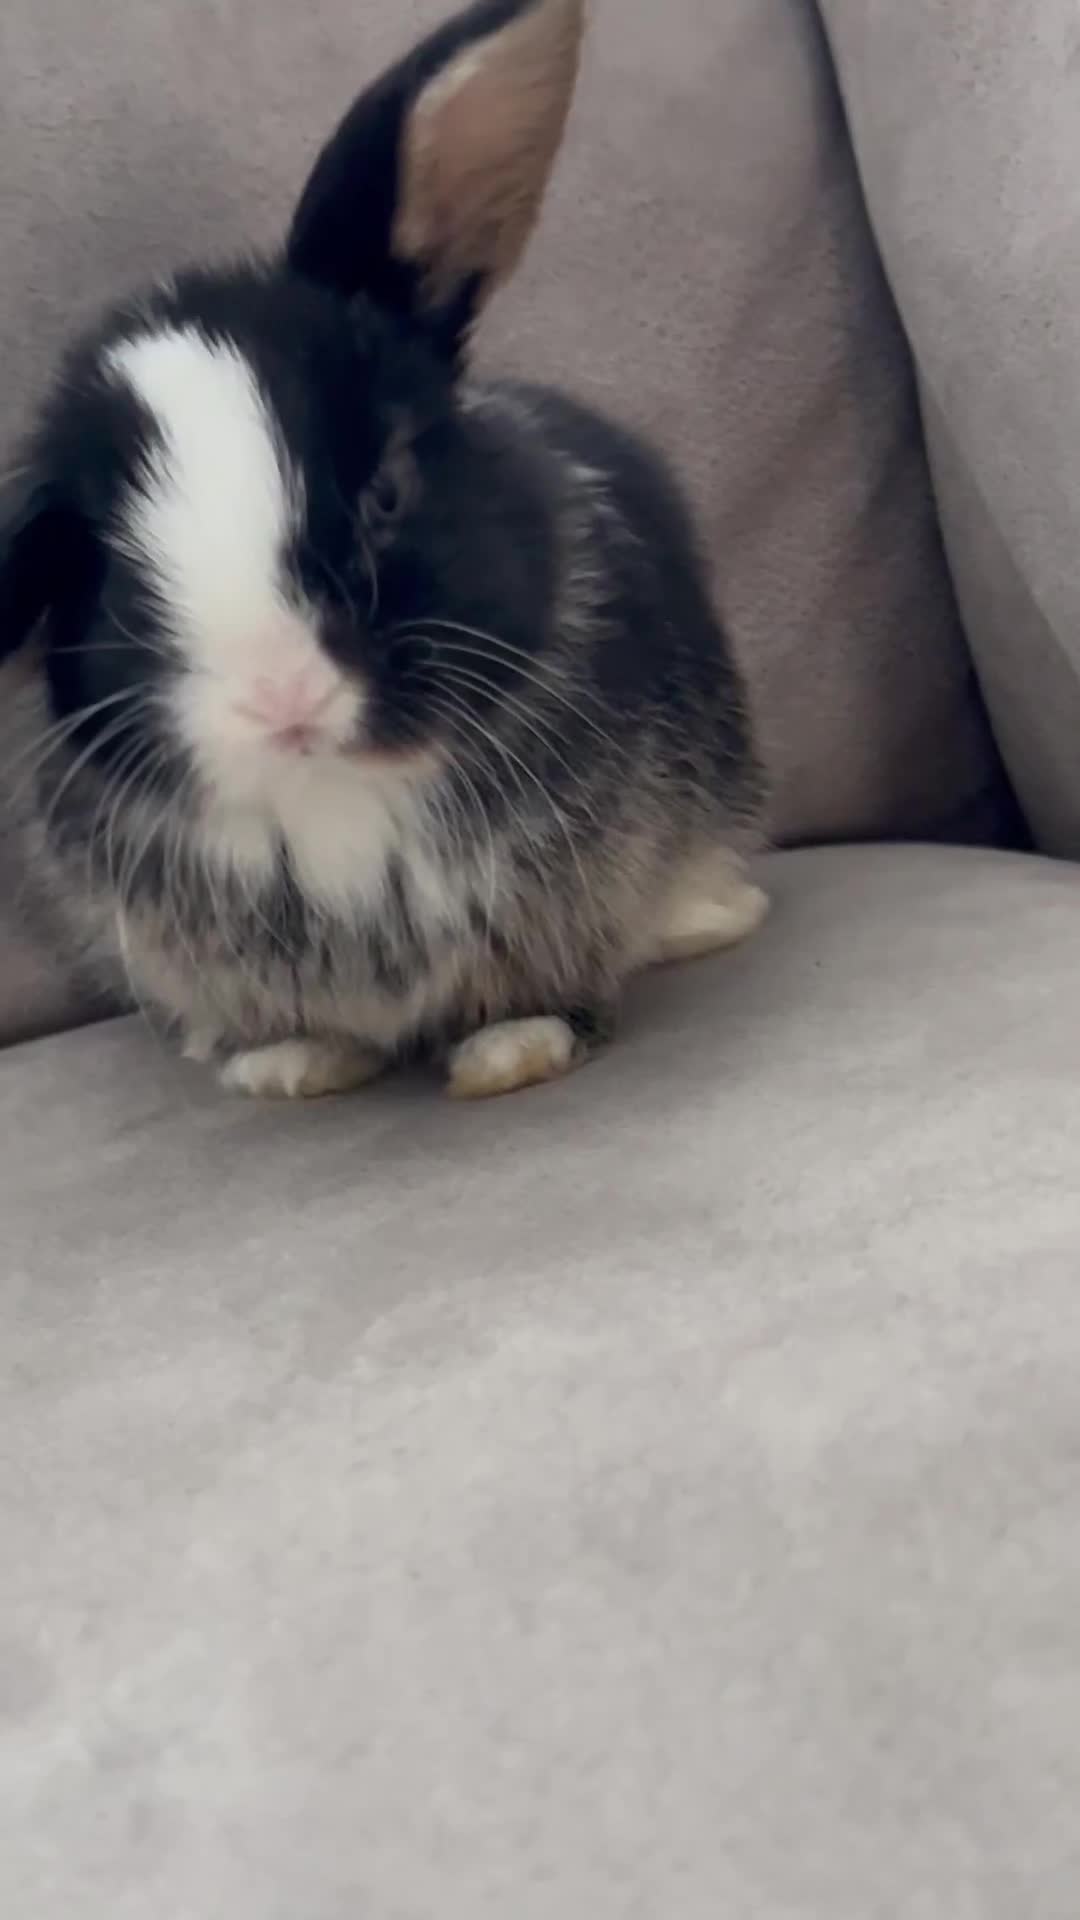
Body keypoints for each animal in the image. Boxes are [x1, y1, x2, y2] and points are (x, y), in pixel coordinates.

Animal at [0, 0, 767, 1102]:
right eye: (108, 575)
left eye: (387, 492)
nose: (282, 699)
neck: (337, 792)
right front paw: (289, 1067)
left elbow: (545, 982)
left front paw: (513, 1051)